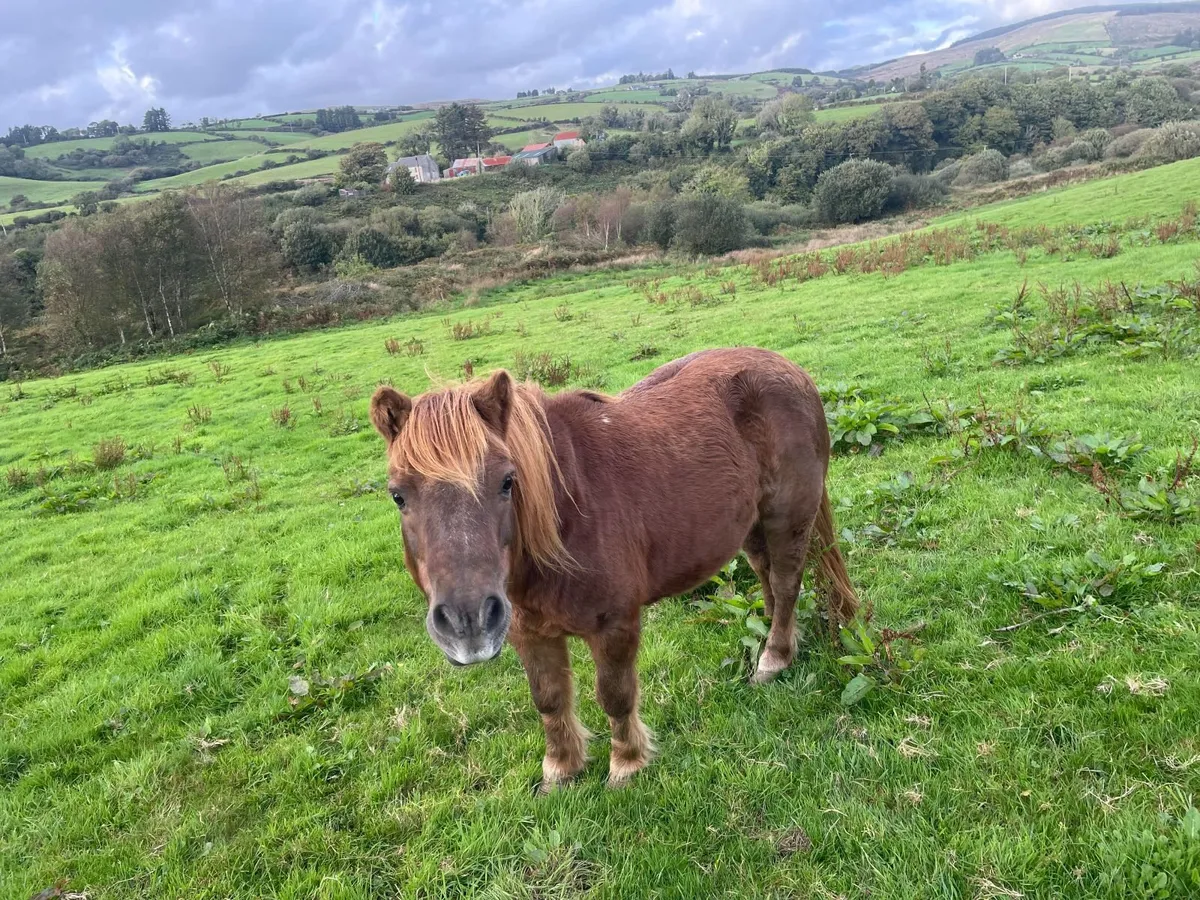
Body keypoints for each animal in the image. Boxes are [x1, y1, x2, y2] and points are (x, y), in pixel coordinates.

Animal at [368, 347, 859, 788]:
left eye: (507, 481)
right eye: (398, 495)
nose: (466, 623)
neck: (567, 513)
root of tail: (789, 368)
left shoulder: (615, 625)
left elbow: (615, 696)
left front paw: (626, 763)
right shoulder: (527, 631)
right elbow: (548, 699)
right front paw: (560, 769)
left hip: (788, 519)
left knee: (786, 582)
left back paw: (774, 659)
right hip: (752, 528)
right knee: (768, 581)